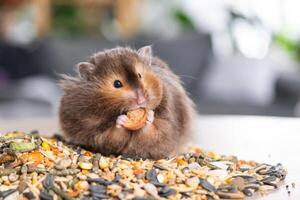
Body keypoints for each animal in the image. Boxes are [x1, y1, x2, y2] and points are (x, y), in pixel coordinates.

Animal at [58, 45, 196, 159]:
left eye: (140, 75)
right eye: (117, 84)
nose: (141, 100)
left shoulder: (168, 127)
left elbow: (154, 131)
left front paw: (149, 116)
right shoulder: (95, 131)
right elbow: (110, 135)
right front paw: (121, 120)